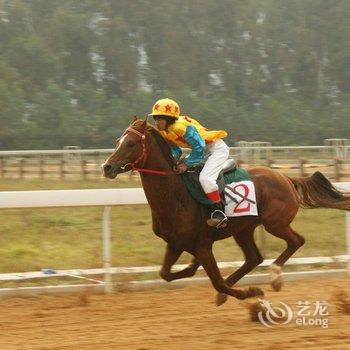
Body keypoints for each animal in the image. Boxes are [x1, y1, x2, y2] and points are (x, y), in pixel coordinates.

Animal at [102, 118, 350, 306]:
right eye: (118, 141)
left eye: (131, 143)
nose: (107, 167)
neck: (176, 195)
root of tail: (286, 178)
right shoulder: (175, 243)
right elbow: (166, 274)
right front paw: (193, 267)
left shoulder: (203, 245)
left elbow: (216, 281)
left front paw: (250, 292)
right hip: (244, 229)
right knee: (254, 258)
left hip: (275, 223)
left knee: (296, 241)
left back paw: (274, 277)